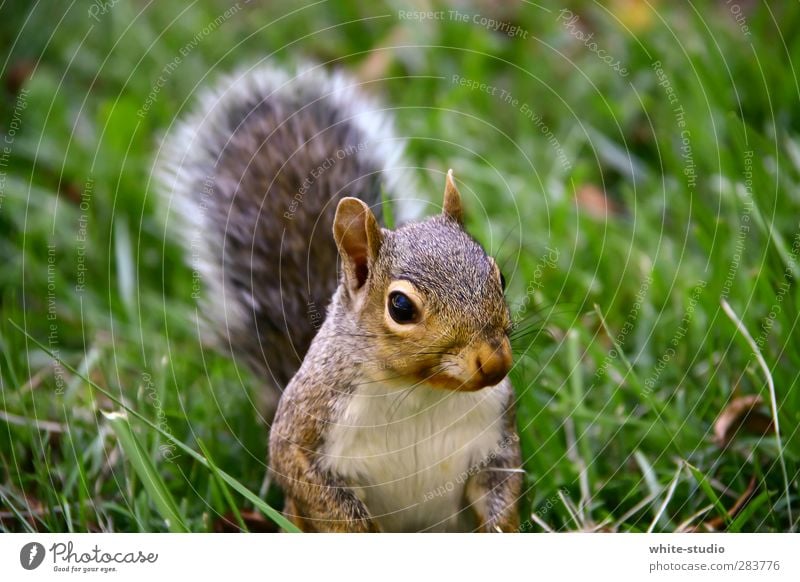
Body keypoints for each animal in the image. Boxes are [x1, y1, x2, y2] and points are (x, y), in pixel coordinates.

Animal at [156, 64, 520, 532]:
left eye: (500, 276)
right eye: (401, 307)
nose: (495, 361)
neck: (420, 392)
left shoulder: (498, 437)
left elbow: (503, 490)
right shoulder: (305, 431)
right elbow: (312, 485)